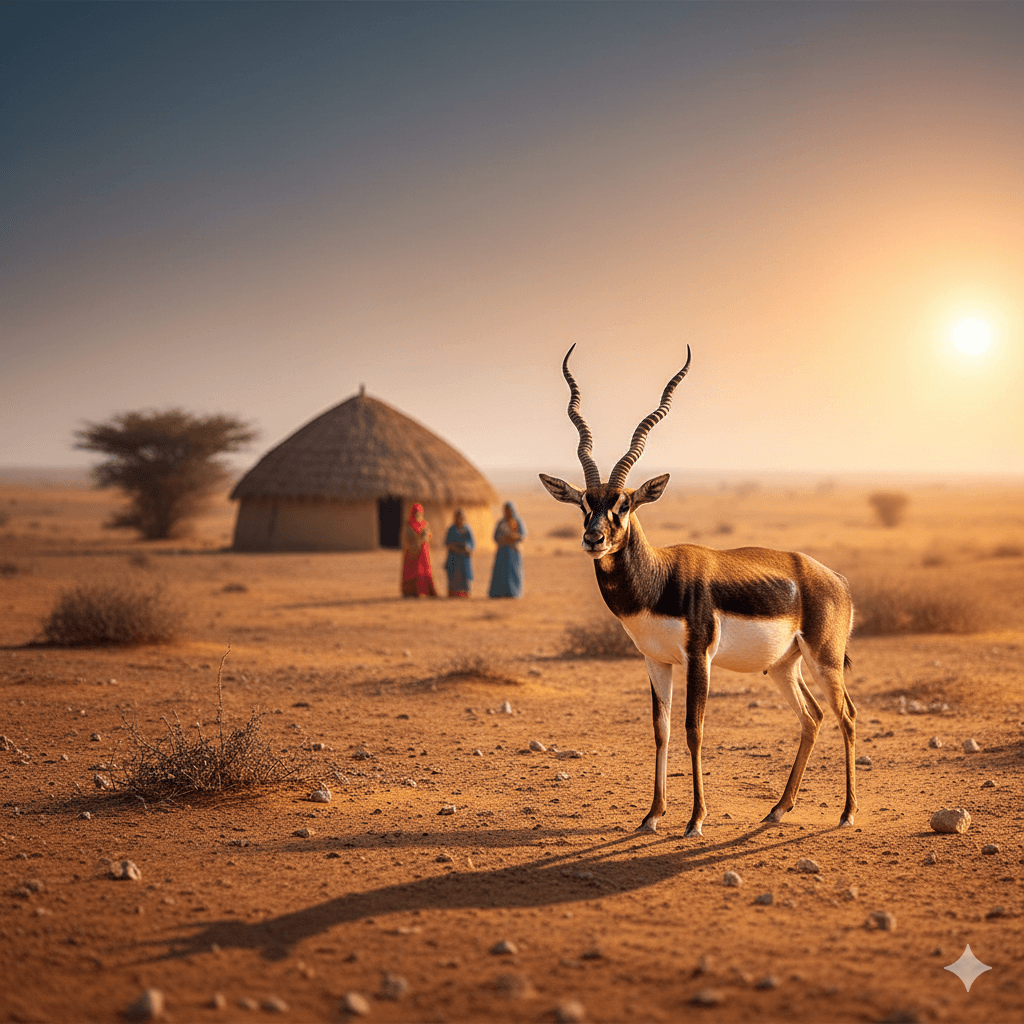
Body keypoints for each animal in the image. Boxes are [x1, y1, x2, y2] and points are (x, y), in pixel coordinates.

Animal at [540, 347, 857, 836]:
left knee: (847, 717)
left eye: (624, 504)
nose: (594, 539)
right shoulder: (656, 660)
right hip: (784, 666)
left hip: (824, 660)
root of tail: (833, 579)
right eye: (584, 504)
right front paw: (651, 815)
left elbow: (694, 728)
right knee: (814, 717)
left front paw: (695, 820)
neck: (658, 579)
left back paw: (846, 813)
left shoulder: (698, 656)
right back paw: (778, 809)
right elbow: (662, 729)